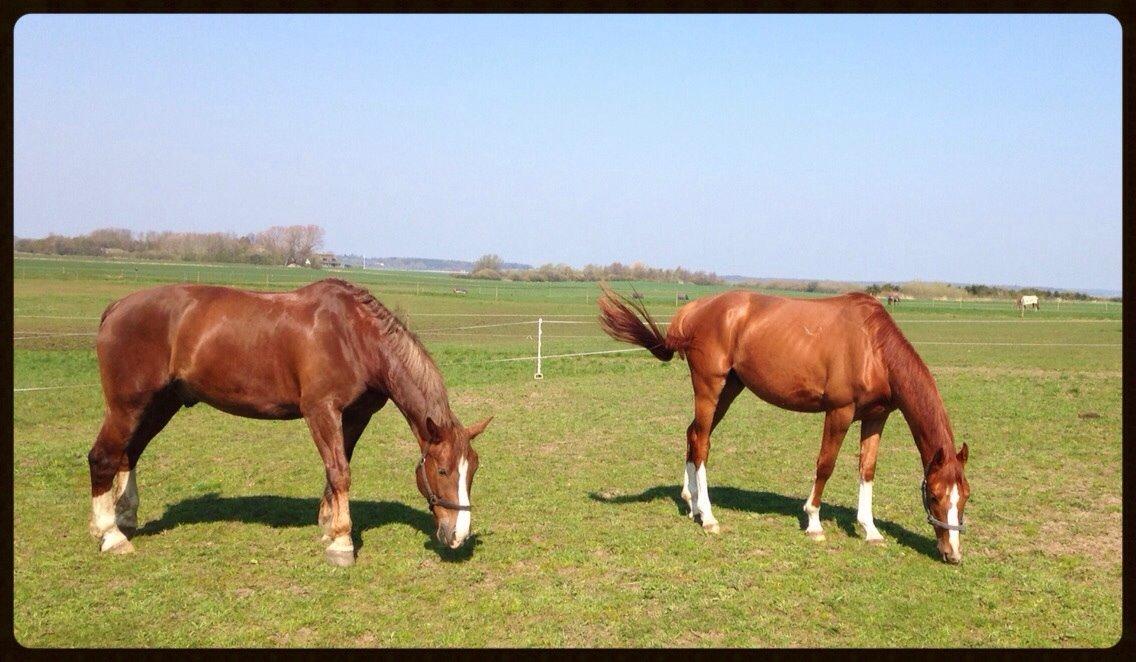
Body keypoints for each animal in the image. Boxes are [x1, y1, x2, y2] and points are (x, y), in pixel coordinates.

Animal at [90, 277, 490, 567]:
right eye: (442, 471)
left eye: (472, 471)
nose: (459, 535)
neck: (353, 336)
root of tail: (116, 308)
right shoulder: (321, 411)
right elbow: (339, 471)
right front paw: (341, 543)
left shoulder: (355, 416)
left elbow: (338, 467)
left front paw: (328, 526)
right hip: (128, 406)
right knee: (103, 457)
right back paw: (111, 536)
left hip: (160, 404)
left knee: (129, 455)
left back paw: (125, 517)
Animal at [599, 285, 972, 565]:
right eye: (935, 495)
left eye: (965, 496)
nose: (952, 553)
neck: (873, 347)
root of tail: (691, 311)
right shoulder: (839, 412)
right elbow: (825, 465)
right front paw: (814, 522)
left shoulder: (876, 416)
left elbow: (867, 470)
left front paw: (870, 530)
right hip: (709, 387)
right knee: (702, 442)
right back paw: (708, 516)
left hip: (729, 389)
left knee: (693, 435)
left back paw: (691, 504)